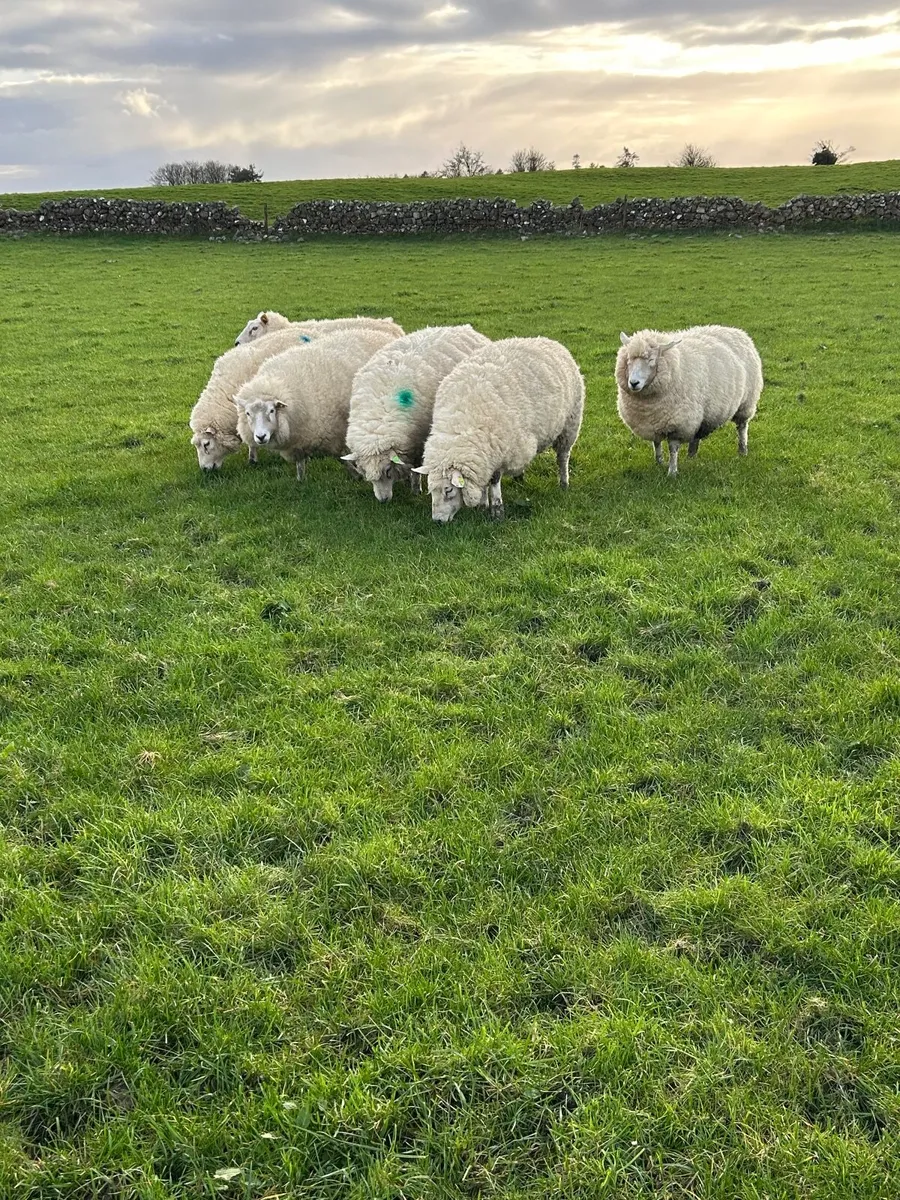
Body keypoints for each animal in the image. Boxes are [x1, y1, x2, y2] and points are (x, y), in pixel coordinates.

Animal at [233, 328, 398, 480]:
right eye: (248, 413)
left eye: (272, 410)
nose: (260, 437)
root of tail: (378, 333)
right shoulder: (299, 439)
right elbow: (300, 462)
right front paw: (300, 480)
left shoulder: (333, 432)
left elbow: (340, 457)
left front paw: (356, 473)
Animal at [341, 324, 492, 502]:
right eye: (364, 471)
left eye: (387, 470)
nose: (383, 501)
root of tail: (464, 327)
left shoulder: (418, 441)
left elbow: (416, 466)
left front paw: (414, 487)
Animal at [413, 337, 585, 523]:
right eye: (431, 490)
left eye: (448, 490)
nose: (437, 521)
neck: (460, 426)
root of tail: (548, 340)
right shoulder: (485, 455)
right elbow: (484, 480)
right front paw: (482, 505)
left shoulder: (499, 449)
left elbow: (494, 481)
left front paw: (497, 510)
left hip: (570, 424)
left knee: (563, 457)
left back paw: (564, 483)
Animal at [616, 325, 763, 477]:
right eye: (629, 359)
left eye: (651, 359)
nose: (633, 383)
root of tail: (737, 330)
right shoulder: (652, 422)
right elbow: (656, 443)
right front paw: (659, 462)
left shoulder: (678, 422)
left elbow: (673, 448)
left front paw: (672, 472)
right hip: (701, 413)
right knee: (697, 434)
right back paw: (691, 456)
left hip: (746, 403)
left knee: (742, 427)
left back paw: (742, 450)